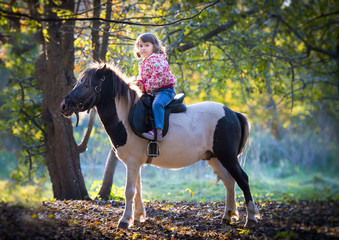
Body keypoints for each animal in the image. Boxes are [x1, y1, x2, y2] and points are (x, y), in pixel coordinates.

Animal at [60, 62, 260, 229]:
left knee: (243, 179)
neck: (126, 117)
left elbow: (129, 191)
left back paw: (251, 218)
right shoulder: (135, 164)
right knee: (229, 181)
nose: (64, 105)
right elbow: (138, 190)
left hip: (227, 156)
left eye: (87, 85)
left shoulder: (132, 163)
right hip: (214, 158)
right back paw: (228, 216)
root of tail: (232, 113)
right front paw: (138, 217)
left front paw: (125, 220)